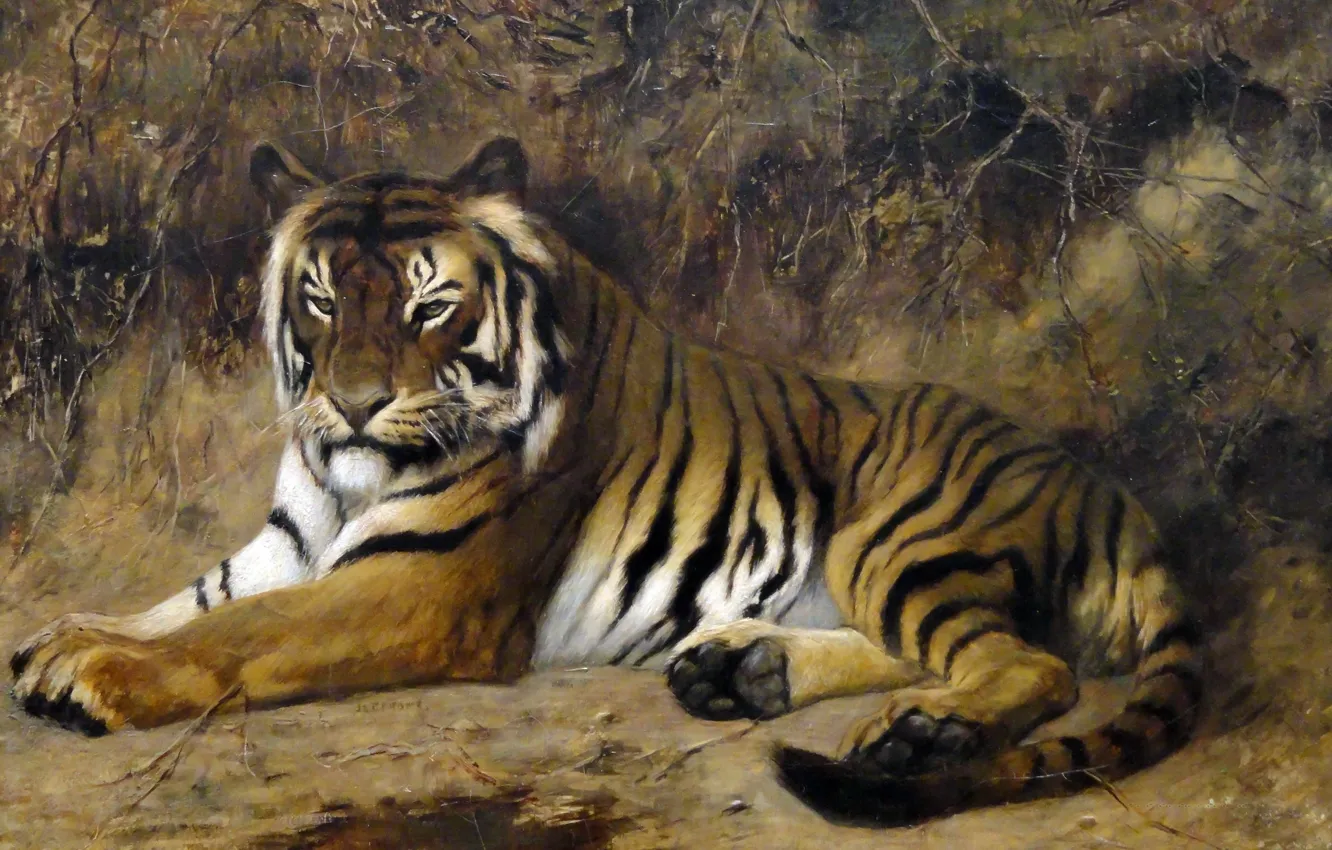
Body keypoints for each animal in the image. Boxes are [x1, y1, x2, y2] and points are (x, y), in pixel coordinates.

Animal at [9, 136, 1204, 826]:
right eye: (320, 300)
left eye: (428, 305)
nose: (349, 405)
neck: (345, 479)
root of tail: (1112, 491)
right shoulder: (287, 546)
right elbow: (186, 601)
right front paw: (59, 638)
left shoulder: (422, 589)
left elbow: (239, 634)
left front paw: (94, 676)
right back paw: (746, 669)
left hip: (895, 535)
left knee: (1030, 661)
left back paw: (926, 731)